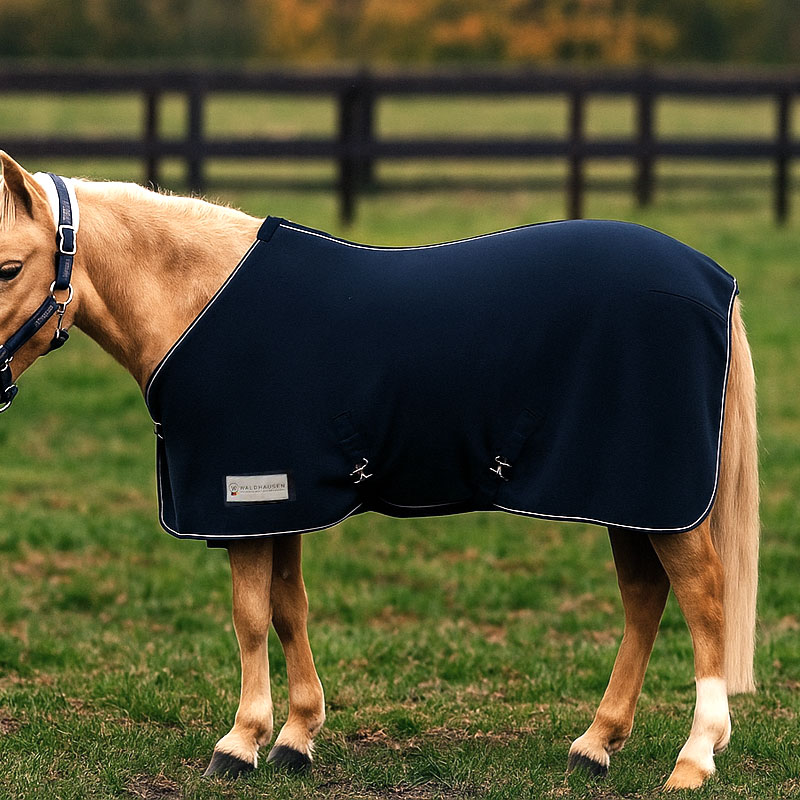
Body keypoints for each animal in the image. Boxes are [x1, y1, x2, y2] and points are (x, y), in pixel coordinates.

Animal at [0, 152, 758, 791]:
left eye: (8, 268)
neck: (200, 300)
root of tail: (712, 281)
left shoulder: (245, 502)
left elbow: (250, 617)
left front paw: (241, 742)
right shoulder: (286, 502)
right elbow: (288, 610)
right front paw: (297, 736)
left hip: (657, 498)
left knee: (703, 600)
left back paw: (695, 757)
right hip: (623, 496)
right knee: (645, 598)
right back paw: (596, 743)